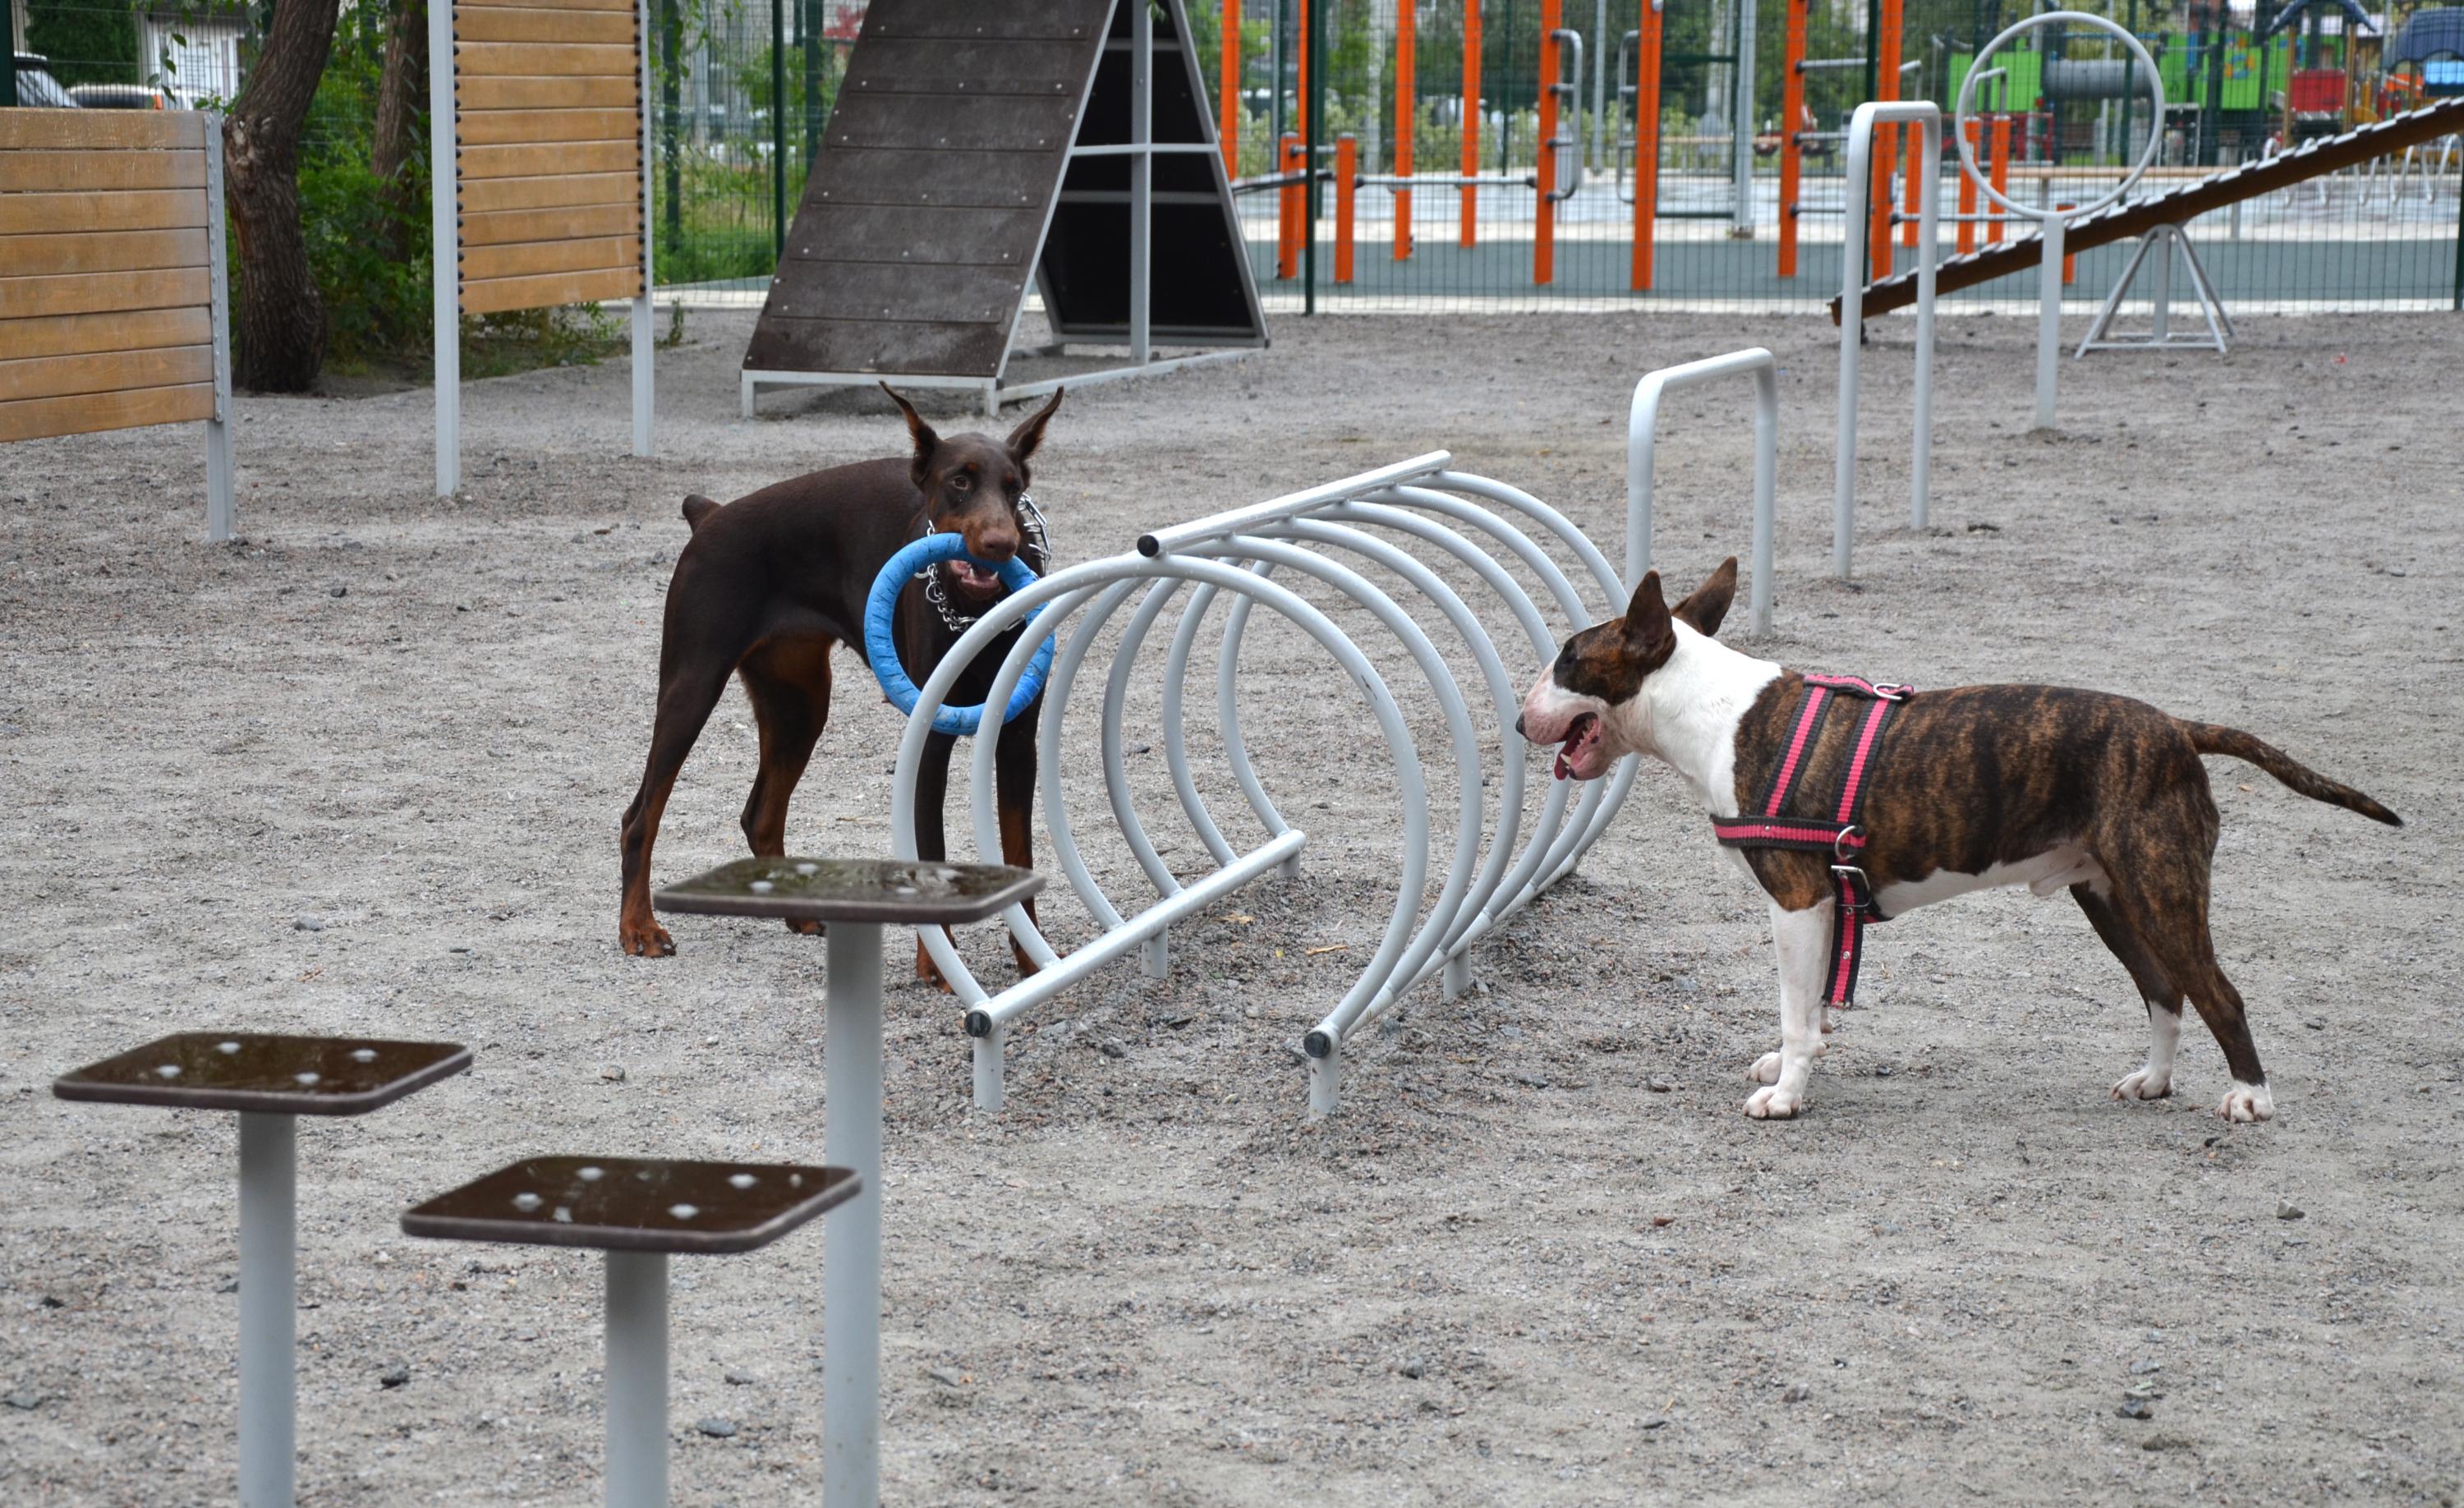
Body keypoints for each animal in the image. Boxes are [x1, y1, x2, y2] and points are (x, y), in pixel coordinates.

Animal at [616, 389, 1060, 976]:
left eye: (1014, 488)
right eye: (960, 481)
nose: (999, 543)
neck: (973, 610)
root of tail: (710, 515)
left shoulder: (1016, 740)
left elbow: (1020, 851)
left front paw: (1034, 959)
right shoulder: (929, 741)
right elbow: (930, 848)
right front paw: (938, 963)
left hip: (799, 703)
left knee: (760, 815)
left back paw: (798, 912)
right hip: (692, 684)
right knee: (640, 816)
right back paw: (639, 927)